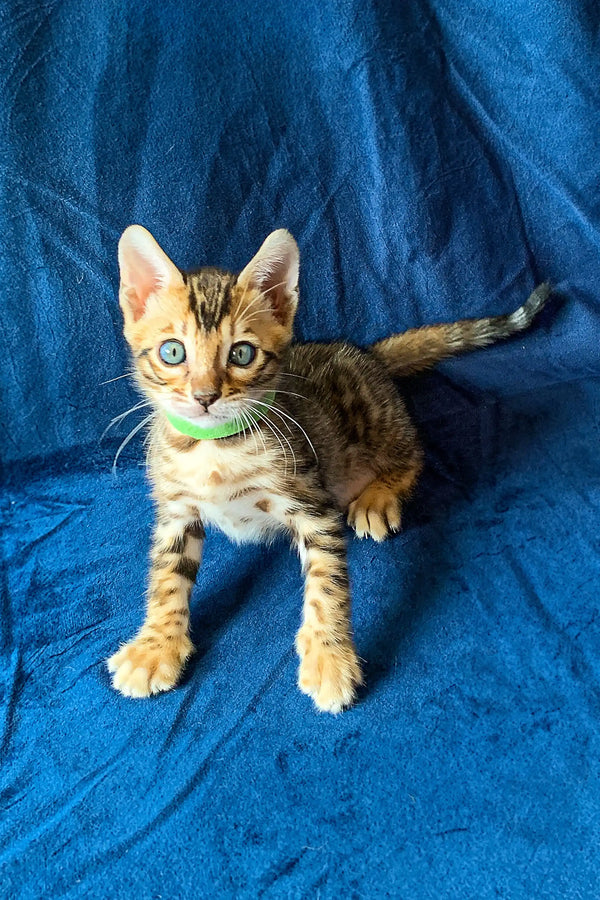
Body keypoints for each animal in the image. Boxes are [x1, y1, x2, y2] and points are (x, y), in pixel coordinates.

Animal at [106, 229, 548, 712]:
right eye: (172, 352)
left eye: (241, 354)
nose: (205, 396)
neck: (216, 446)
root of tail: (365, 353)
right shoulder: (176, 512)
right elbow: (167, 577)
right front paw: (156, 646)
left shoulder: (311, 503)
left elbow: (327, 582)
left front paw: (329, 656)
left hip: (374, 417)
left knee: (413, 451)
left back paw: (378, 496)